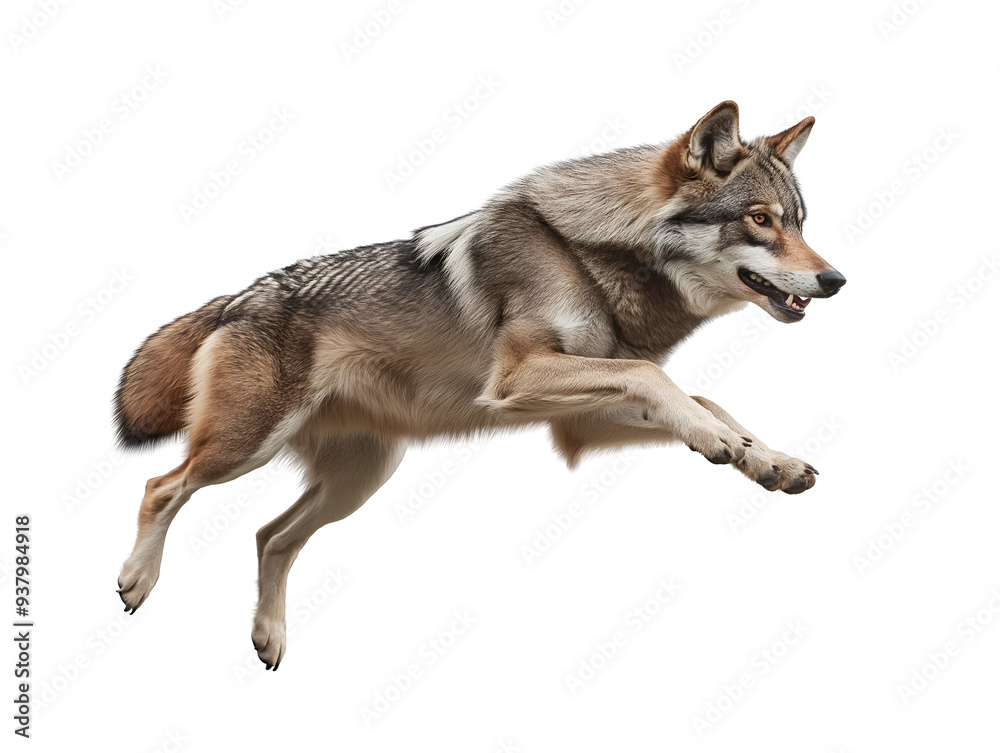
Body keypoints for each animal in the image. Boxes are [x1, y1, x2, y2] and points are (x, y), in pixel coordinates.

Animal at [113, 101, 845, 668]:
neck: (590, 254)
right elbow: (655, 374)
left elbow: (702, 398)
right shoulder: (521, 375)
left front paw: (764, 459)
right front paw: (727, 443)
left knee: (270, 535)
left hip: (359, 480)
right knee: (161, 486)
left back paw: (268, 637)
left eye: (799, 222)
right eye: (759, 219)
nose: (836, 280)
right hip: (247, 446)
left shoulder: (577, 423)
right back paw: (137, 580)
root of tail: (237, 297)